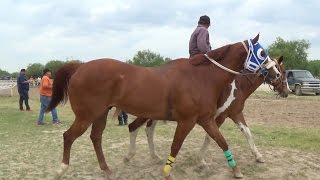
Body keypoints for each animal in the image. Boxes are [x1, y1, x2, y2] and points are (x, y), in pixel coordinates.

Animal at [124, 55, 288, 167]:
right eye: (284, 71)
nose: (287, 91)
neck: (239, 86)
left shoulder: (235, 114)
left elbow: (247, 133)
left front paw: (258, 156)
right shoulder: (220, 116)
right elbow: (211, 137)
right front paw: (201, 159)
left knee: (148, 129)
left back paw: (154, 156)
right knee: (133, 127)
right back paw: (130, 156)